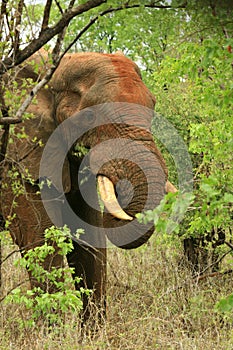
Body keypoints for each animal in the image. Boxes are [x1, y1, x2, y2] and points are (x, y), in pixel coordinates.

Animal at [0, 50, 175, 322]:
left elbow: (89, 236)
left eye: (153, 108)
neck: (59, 66)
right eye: (90, 117)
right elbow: (38, 239)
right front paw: (53, 332)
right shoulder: (15, 156)